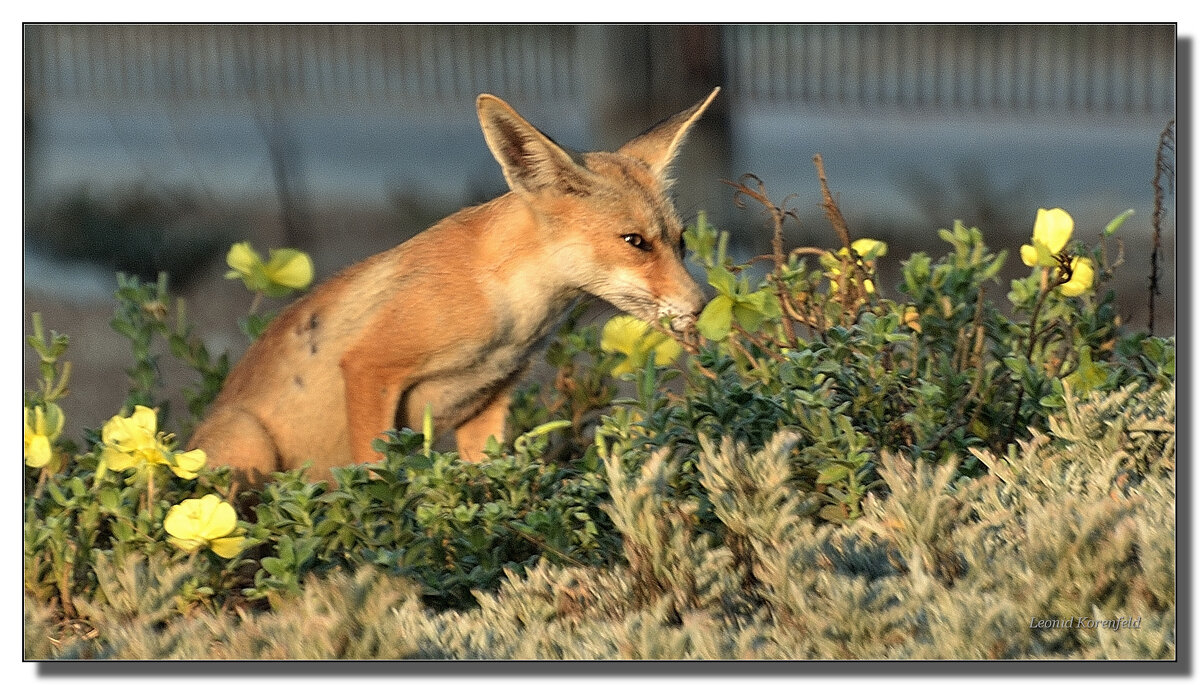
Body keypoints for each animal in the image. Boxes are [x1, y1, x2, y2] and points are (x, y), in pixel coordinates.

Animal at [186, 85, 710, 484]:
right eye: (635, 242)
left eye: (681, 241)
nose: (702, 306)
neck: (508, 312)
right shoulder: (369, 366)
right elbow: (376, 478)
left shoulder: (491, 400)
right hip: (249, 443)